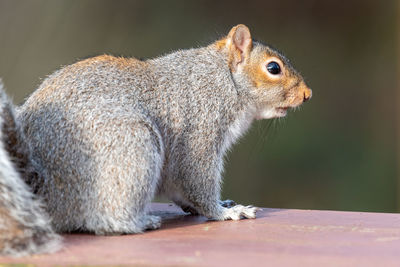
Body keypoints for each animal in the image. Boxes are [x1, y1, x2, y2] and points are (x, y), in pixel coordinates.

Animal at [0, 25, 310, 258]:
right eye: (273, 68)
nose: (307, 94)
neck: (223, 78)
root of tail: (44, 191)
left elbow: (179, 186)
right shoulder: (200, 132)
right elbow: (198, 179)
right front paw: (225, 212)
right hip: (133, 146)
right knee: (107, 220)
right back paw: (139, 222)